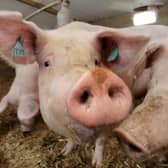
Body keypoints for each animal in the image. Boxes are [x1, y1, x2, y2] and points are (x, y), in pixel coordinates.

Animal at [0, 10, 133, 167]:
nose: (94, 79)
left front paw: (97, 163)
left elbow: (100, 141)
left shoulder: (110, 124)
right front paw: (63, 153)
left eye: (96, 61)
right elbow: (71, 138)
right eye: (46, 63)